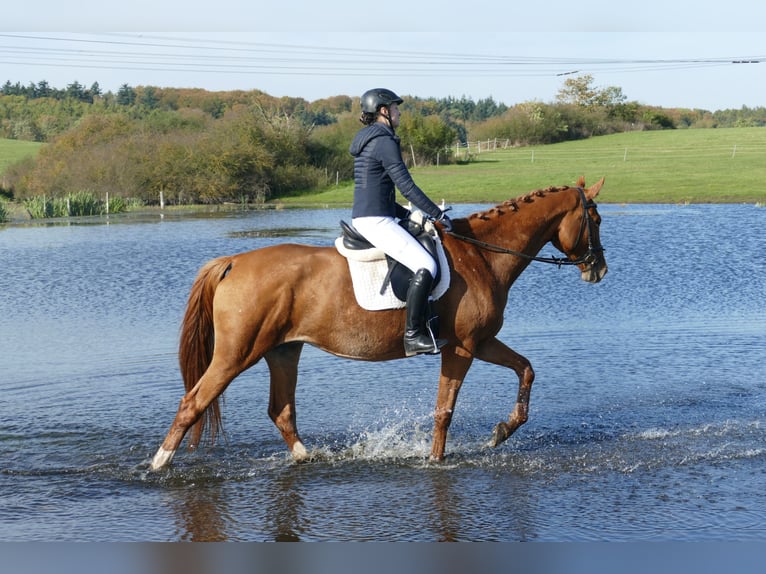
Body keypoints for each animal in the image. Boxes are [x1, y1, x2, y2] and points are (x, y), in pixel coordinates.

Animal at [148, 177, 608, 472]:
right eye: (597, 220)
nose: (598, 269)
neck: (482, 254)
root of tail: (232, 262)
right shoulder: (461, 347)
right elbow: (444, 409)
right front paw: (436, 461)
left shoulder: (481, 341)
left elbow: (526, 369)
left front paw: (502, 432)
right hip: (236, 353)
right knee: (193, 403)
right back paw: (158, 465)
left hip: (283, 351)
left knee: (281, 411)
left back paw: (309, 458)